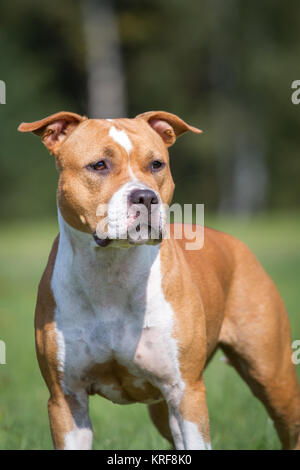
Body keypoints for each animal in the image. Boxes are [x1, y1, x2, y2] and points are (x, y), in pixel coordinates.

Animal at [18, 111, 300, 452]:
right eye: (99, 165)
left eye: (156, 164)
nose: (145, 196)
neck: (112, 271)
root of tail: (233, 241)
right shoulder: (67, 400)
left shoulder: (186, 392)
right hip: (162, 411)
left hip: (273, 376)